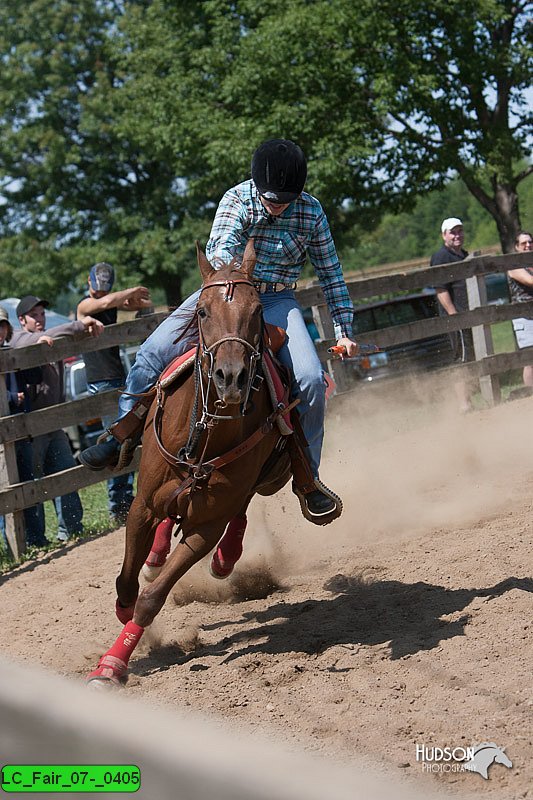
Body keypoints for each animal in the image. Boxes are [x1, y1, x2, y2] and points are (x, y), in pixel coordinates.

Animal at [87, 238, 296, 688]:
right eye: (202, 311)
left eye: (257, 311)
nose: (231, 379)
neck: (205, 431)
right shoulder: (141, 506)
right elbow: (127, 582)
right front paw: (125, 614)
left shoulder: (206, 527)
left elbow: (151, 599)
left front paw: (112, 664)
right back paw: (155, 555)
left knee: (240, 509)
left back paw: (225, 558)